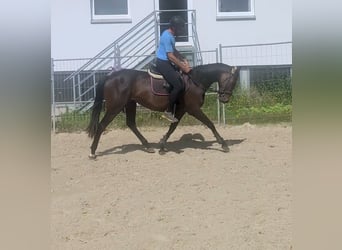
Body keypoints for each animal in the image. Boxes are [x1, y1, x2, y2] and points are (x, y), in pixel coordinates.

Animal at [86, 62, 240, 158]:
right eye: (233, 81)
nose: (225, 99)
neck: (195, 81)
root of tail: (110, 76)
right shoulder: (193, 109)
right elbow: (210, 124)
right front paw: (223, 144)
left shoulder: (181, 110)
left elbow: (172, 127)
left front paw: (162, 145)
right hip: (115, 107)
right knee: (102, 125)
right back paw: (92, 152)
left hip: (130, 104)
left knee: (131, 124)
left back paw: (148, 146)